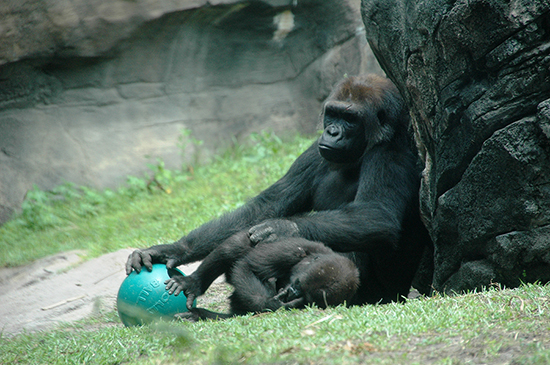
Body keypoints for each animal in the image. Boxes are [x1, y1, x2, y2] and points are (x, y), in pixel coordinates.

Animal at [127, 74, 434, 304]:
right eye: (332, 114)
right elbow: (267, 205)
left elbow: (377, 215)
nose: (332, 132)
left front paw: (282, 228)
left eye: (351, 118)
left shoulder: (391, 154)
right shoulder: (313, 153)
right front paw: (173, 249)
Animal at [166, 230, 360, 318]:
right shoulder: (293, 249)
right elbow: (248, 266)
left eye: (306, 295)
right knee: (235, 246)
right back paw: (193, 283)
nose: (292, 292)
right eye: (298, 283)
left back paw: (199, 315)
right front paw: (272, 303)